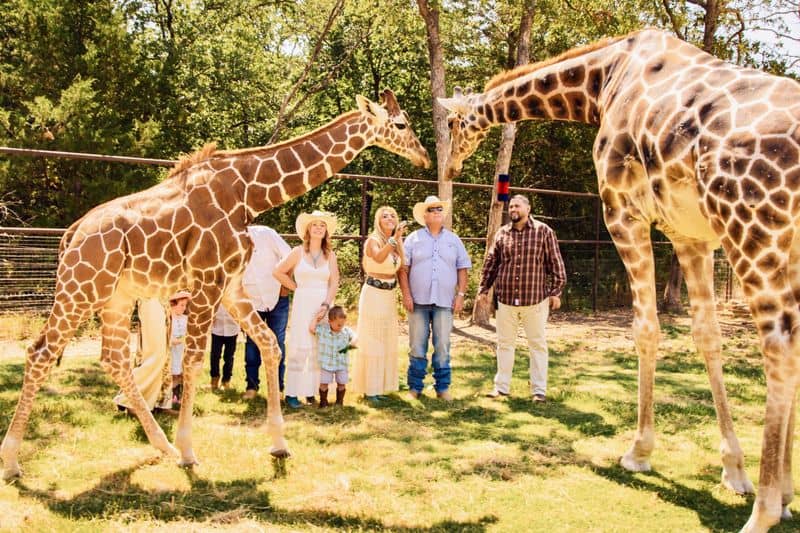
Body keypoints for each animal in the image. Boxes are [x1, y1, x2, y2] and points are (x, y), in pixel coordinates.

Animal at [1, 89, 430, 478]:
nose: (424, 156)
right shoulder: (208, 281)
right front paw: (191, 452)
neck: (248, 193)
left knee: (114, 359)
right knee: (40, 353)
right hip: (82, 289)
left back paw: (163, 445)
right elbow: (192, 359)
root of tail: (70, 235)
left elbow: (270, 345)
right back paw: (13, 462)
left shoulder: (232, 287)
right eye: (401, 125)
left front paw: (278, 444)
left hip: (116, 297)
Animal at [438, 29, 800, 531]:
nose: (448, 167)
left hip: (751, 227)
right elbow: (707, 336)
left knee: (779, 344)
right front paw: (734, 469)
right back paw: (780, 494)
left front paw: (638, 452)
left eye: (454, 124)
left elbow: (645, 329)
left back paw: (762, 513)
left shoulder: (624, 213)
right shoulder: (690, 235)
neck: (601, 82)